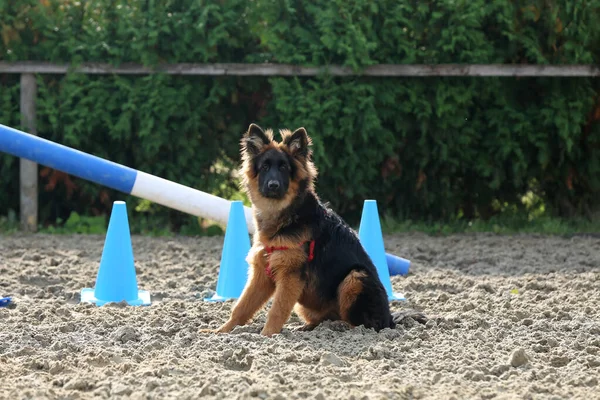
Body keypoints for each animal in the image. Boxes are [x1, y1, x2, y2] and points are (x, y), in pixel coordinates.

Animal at [206, 123, 426, 336]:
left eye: (284, 168)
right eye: (265, 167)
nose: (273, 185)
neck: (286, 217)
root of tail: (389, 319)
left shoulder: (290, 276)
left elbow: (277, 309)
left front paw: (267, 335)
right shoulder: (262, 273)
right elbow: (242, 306)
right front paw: (221, 331)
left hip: (354, 278)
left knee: (363, 324)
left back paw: (342, 328)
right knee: (324, 319)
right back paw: (310, 327)